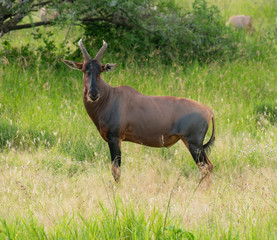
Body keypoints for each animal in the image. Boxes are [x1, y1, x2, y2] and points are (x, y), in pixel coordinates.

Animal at [61, 39, 215, 182]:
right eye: (84, 69)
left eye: (100, 70)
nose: (93, 94)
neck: (110, 96)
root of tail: (209, 111)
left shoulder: (114, 138)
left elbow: (116, 171)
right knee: (210, 166)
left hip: (194, 144)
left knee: (205, 168)